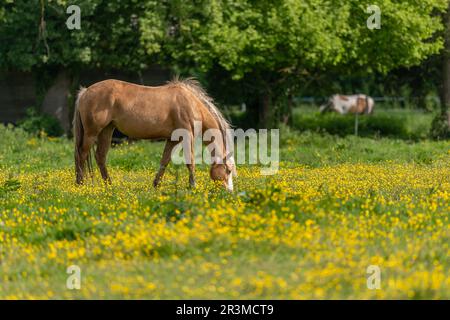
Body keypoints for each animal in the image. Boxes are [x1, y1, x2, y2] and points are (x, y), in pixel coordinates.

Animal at [73, 79, 236, 191]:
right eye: (228, 170)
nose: (229, 192)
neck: (191, 104)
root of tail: (84, 92)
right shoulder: (187, 136)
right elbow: (190, 162)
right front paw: (192, 186)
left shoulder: (172, 139)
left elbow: (164, 161)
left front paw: (156, 184)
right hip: (92, 133)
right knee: (81, 155)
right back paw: (80, 184)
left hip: (107, 130)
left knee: (100, 157)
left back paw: (109, 185)